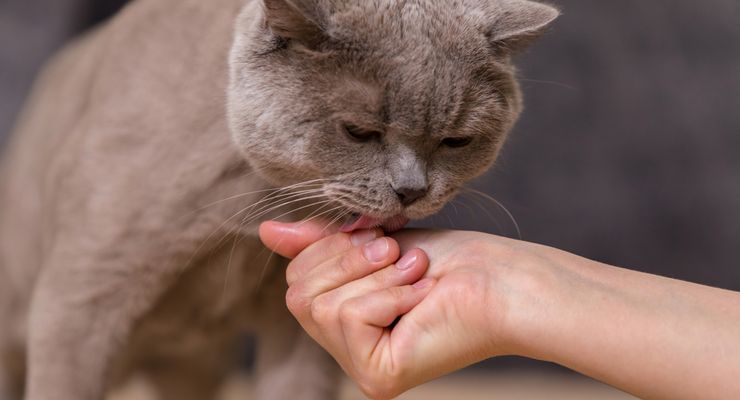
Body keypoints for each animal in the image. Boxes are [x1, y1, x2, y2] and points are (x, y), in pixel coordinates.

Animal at [0, 0, 556, 398]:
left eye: (456, 141)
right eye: (360, 132)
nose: (411, 189)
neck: (257, 206)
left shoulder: (296, 329)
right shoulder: (83, 299)